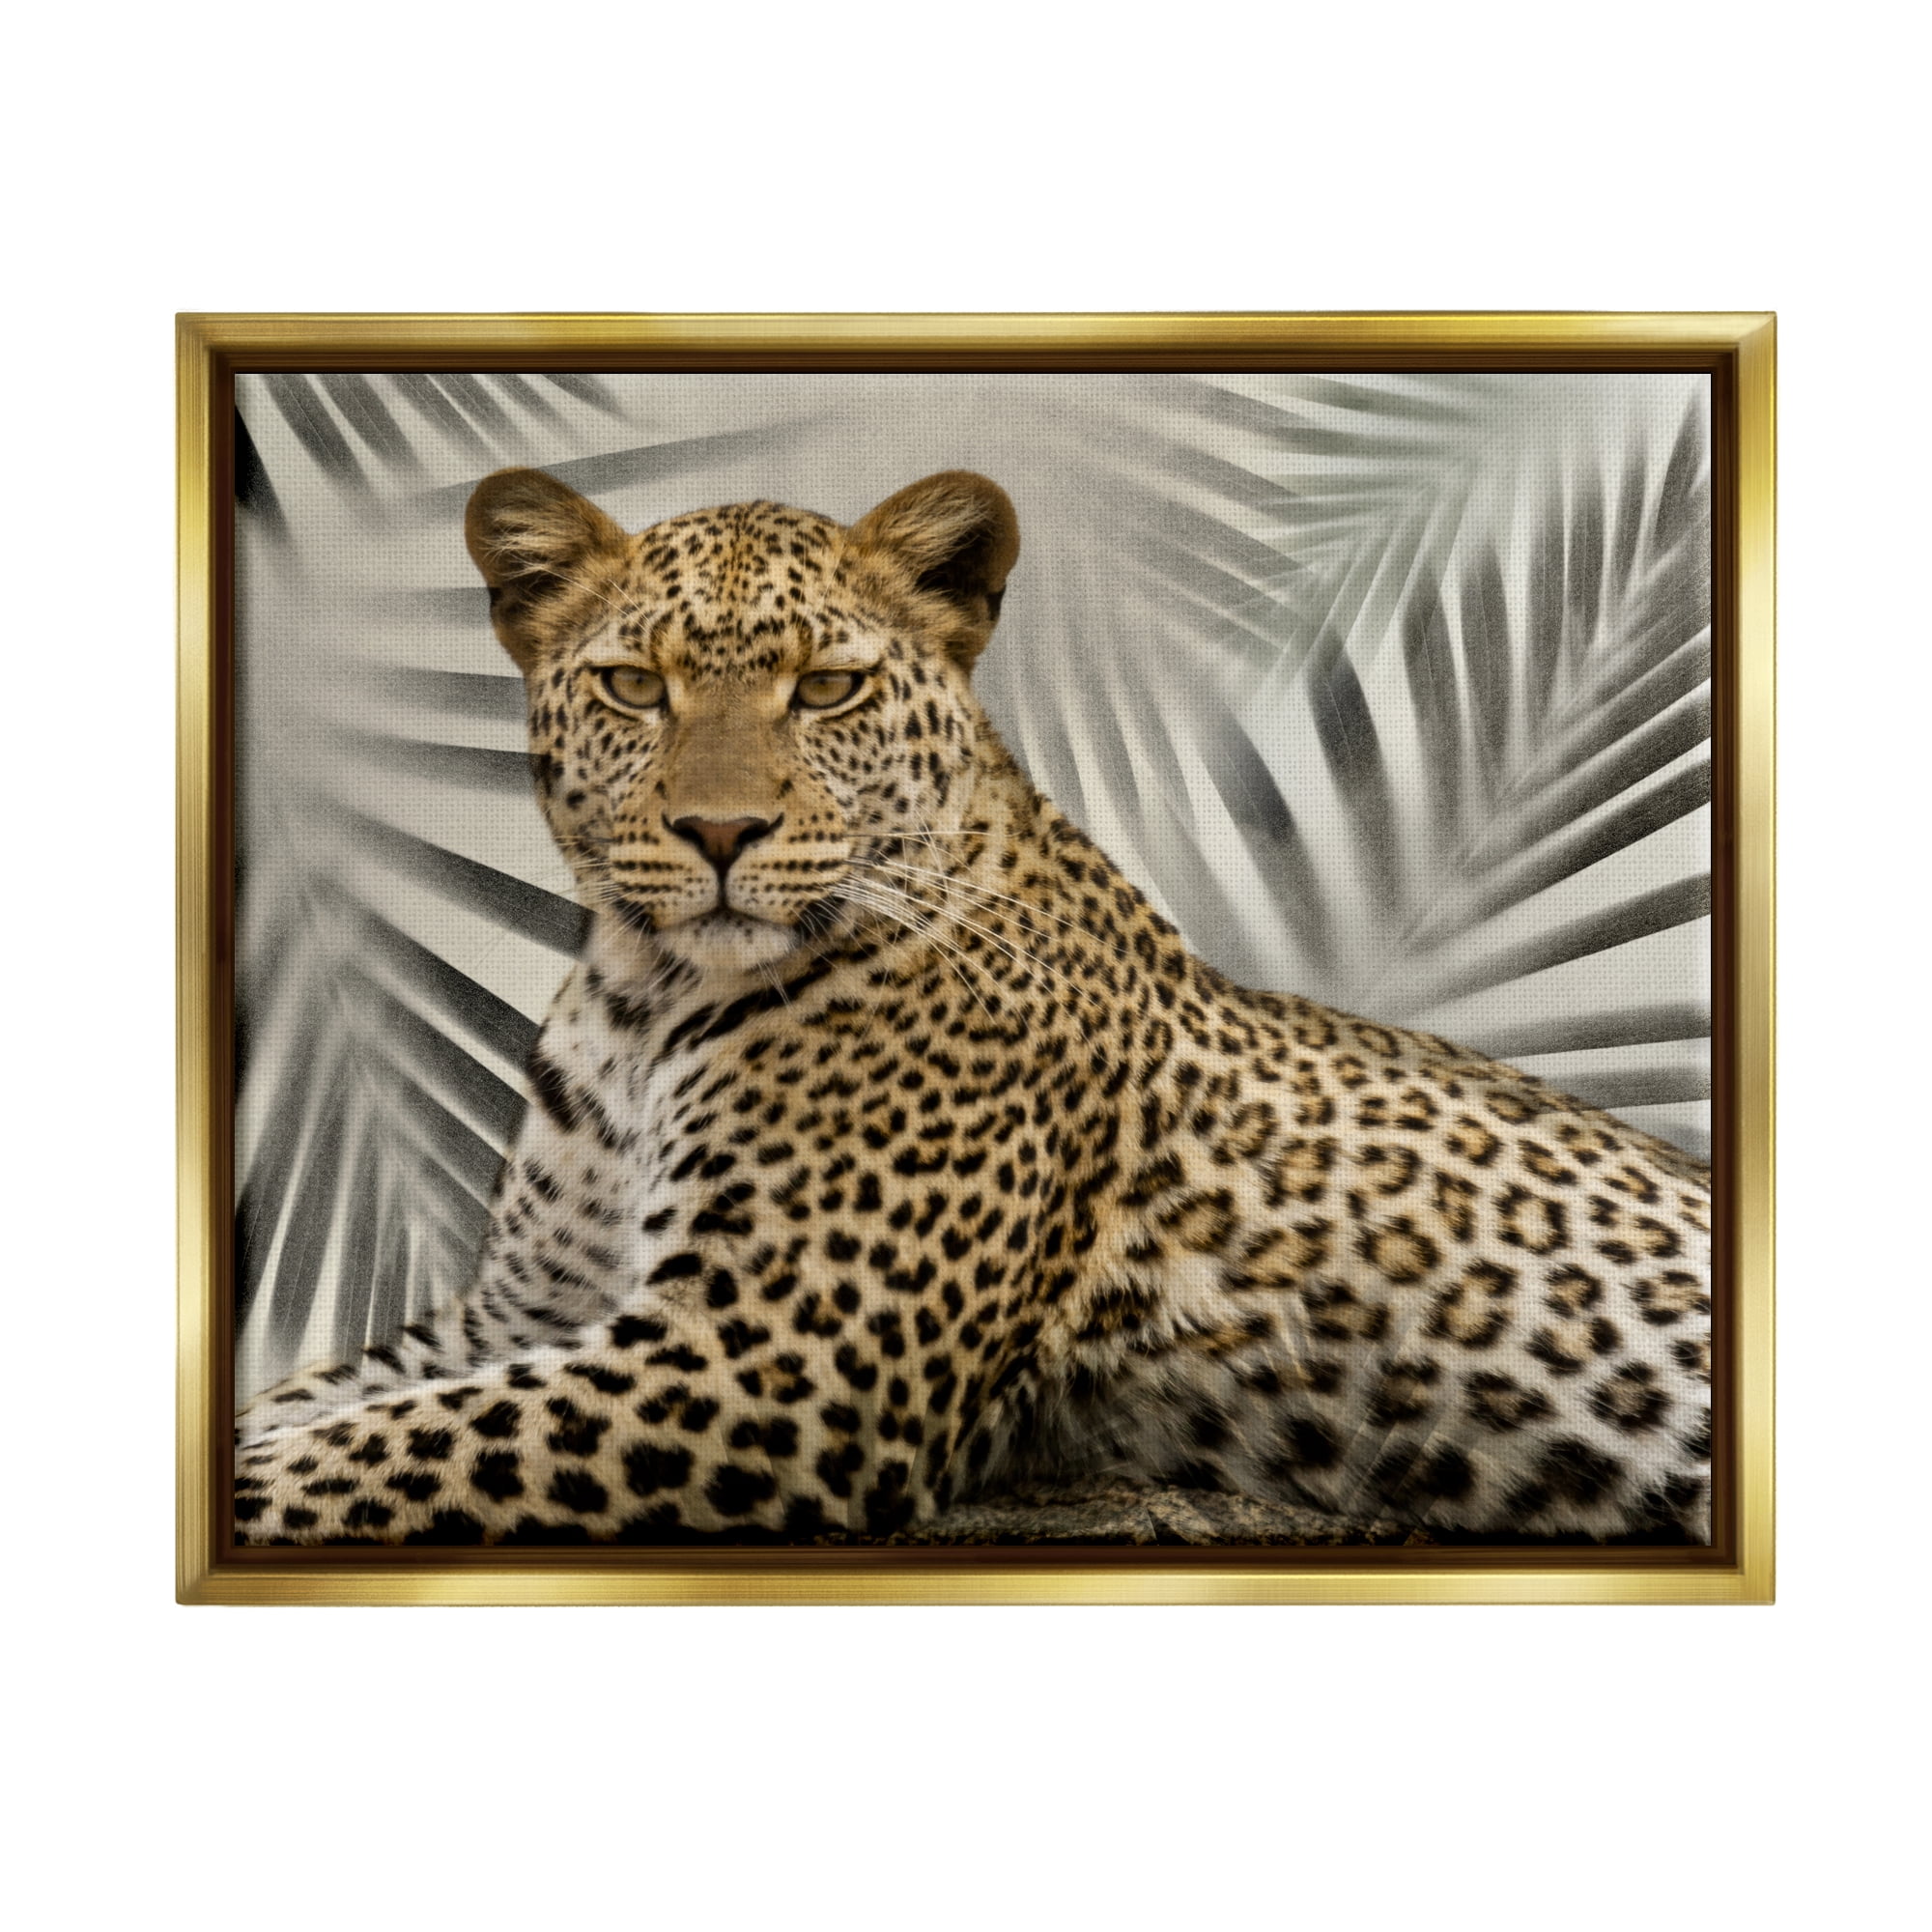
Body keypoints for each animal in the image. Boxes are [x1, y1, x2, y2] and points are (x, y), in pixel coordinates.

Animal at [233, 466, 1715, 1547]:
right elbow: (314, 1405)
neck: (645, 1001)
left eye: (827, 687)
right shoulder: (521, 1315)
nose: (719, 832)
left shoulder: (774, 1357)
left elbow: (360, 1452)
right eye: (634, 687)